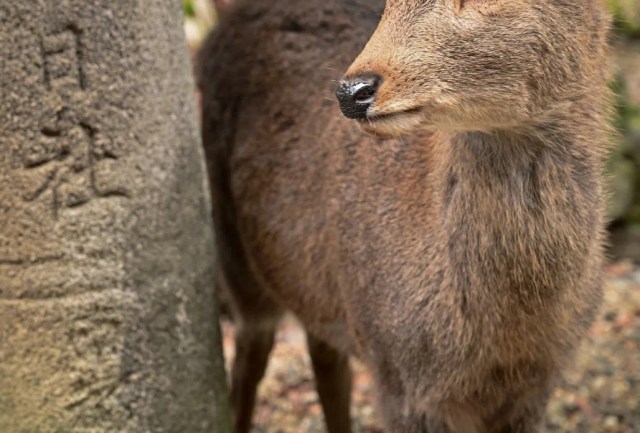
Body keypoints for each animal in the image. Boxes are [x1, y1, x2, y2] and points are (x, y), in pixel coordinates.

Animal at [197, 0, 612, 432]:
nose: (352, 92)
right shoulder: (399, 377)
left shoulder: (536, 386)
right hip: (232, 250)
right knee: (250, 354)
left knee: (323, 355)